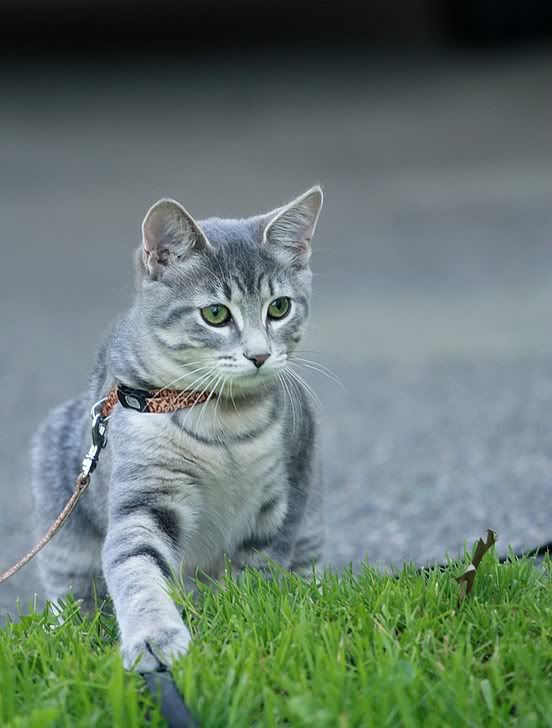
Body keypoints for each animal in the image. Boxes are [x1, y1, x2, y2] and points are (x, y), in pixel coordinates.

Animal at [31, 186, 324, 672]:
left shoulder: (287, 496)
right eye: (216, 313)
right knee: (73, 595)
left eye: (279, 308)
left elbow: (263, 566)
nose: (260, 355)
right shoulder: (146, 496)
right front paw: (153, 636)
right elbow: (136, 566)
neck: (226, 422)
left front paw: (251, 612)